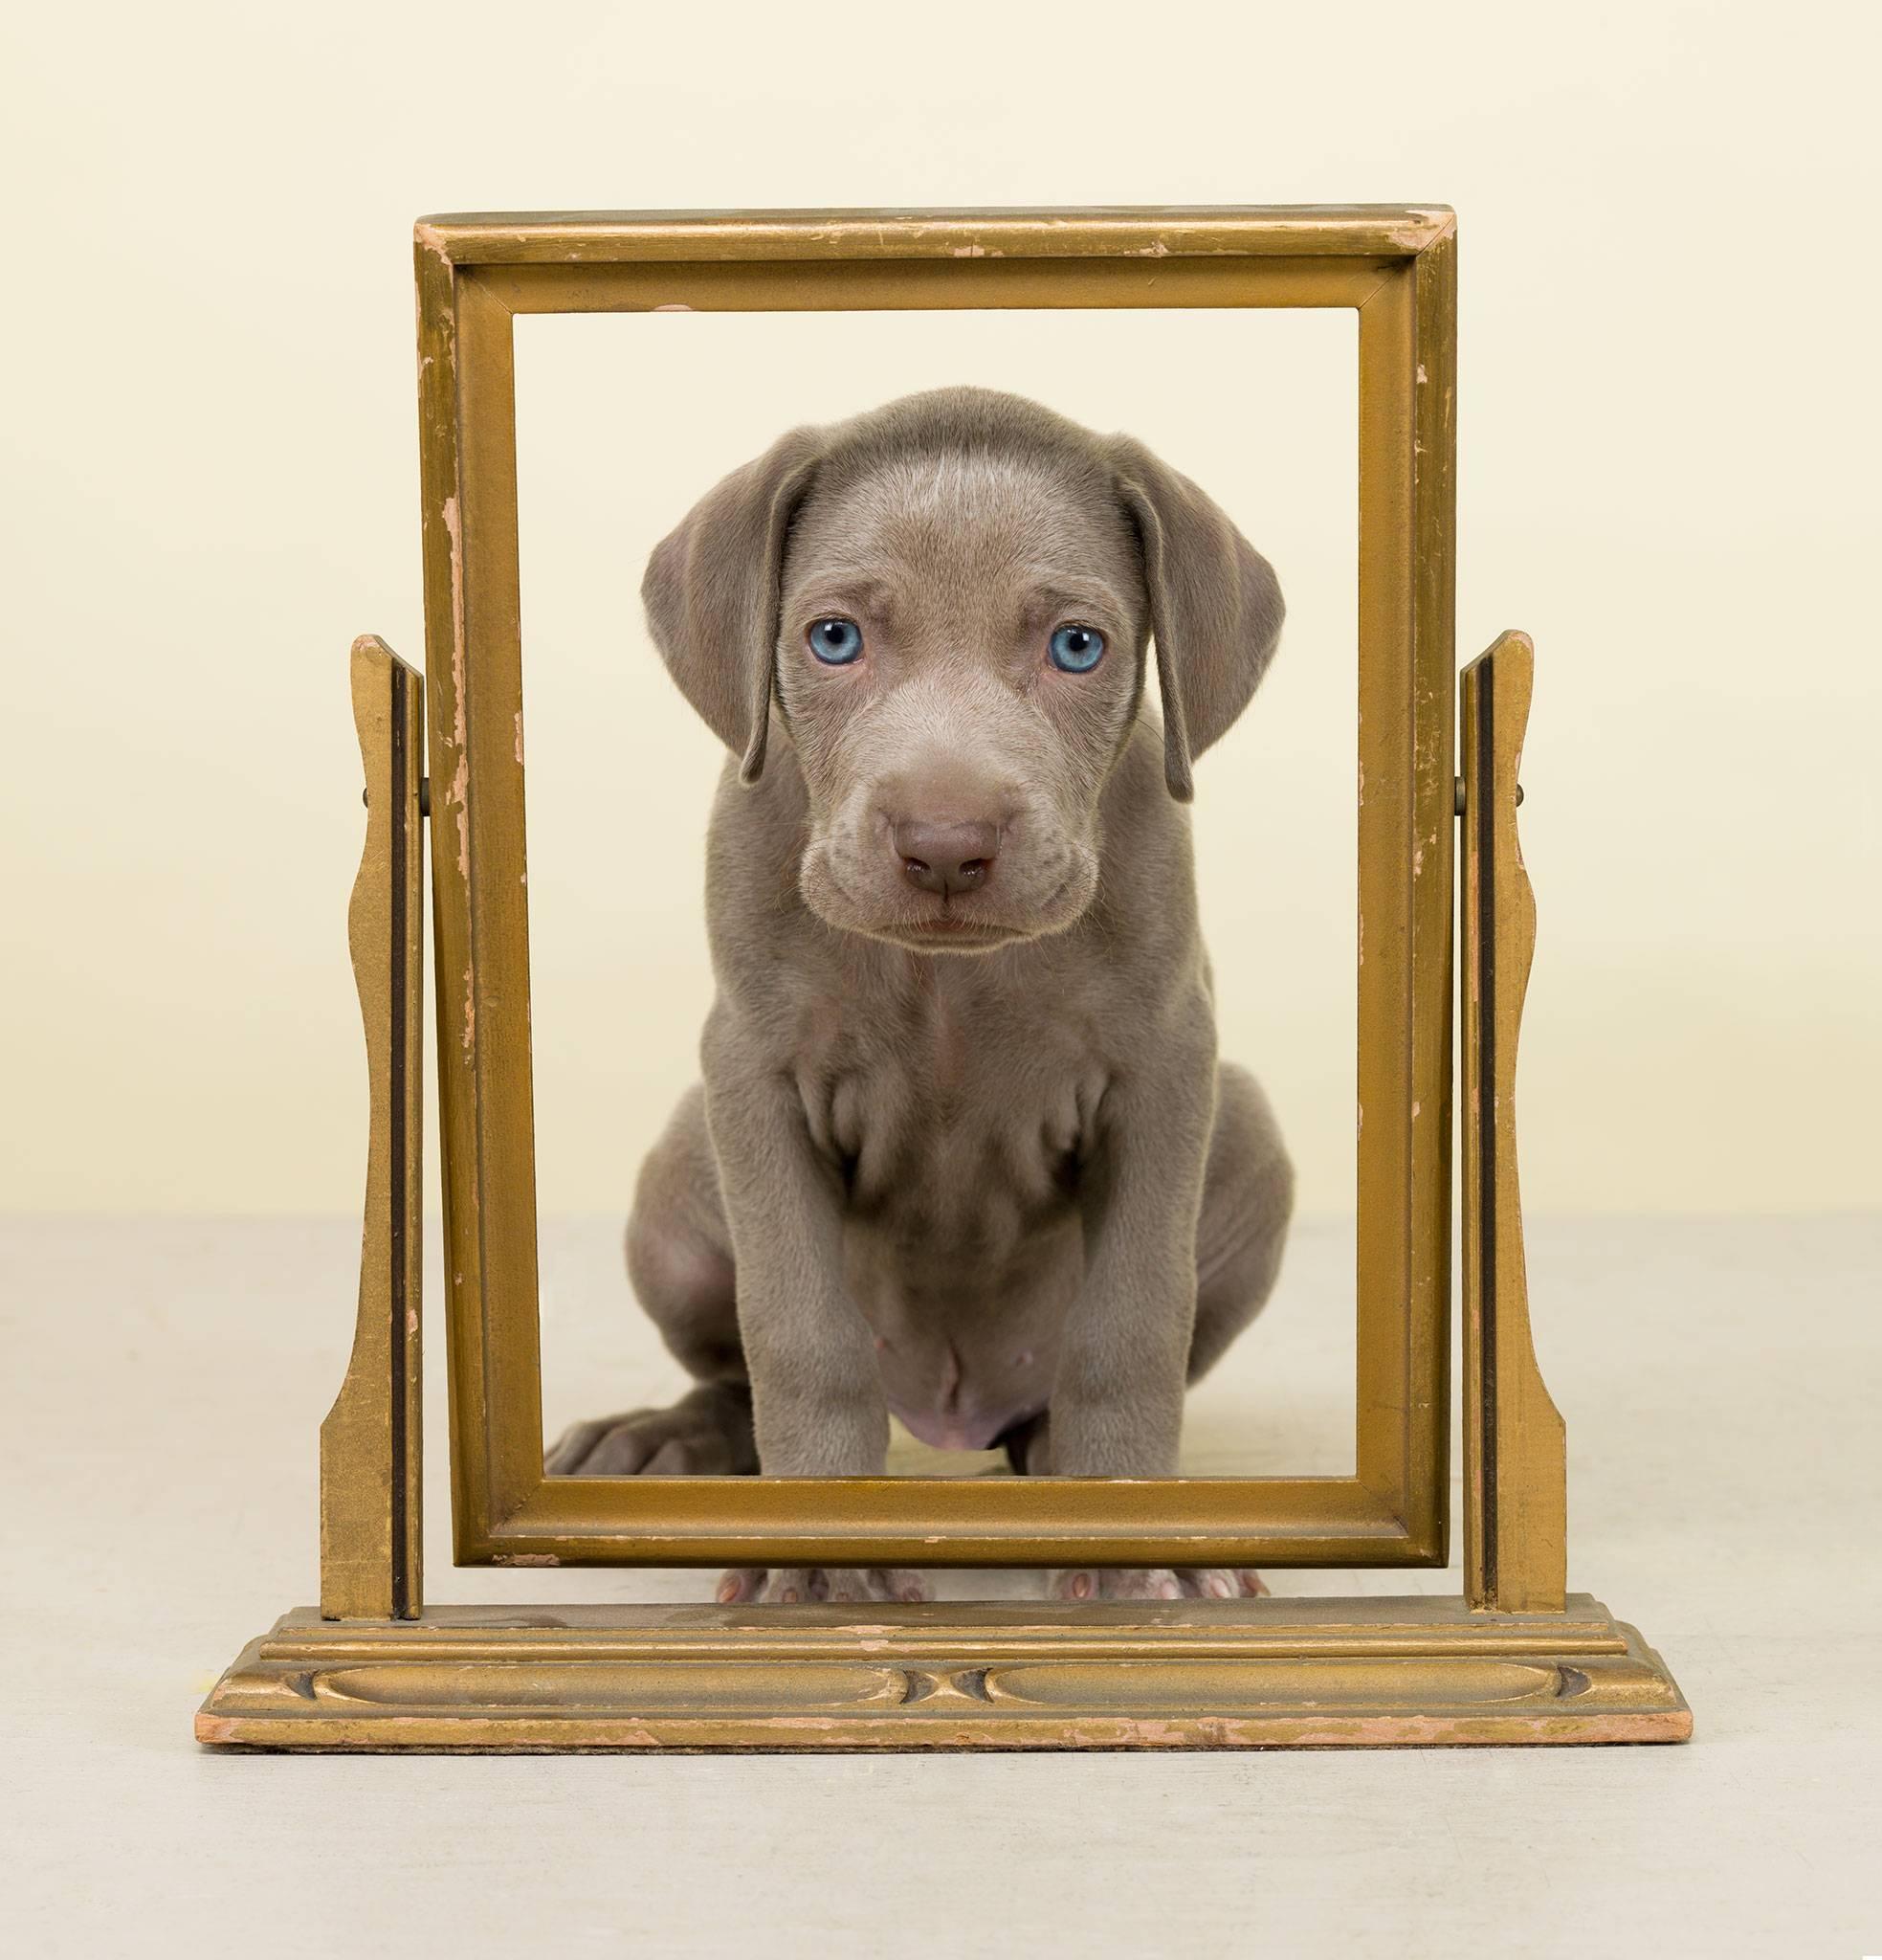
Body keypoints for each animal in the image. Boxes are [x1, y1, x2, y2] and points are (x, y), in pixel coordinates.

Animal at [548, 386, 1294, 1607]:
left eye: (1075, 645)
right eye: (833, 637)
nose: (946, 845)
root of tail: (949, 1408)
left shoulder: (1163, 1067)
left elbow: (1132, 1324)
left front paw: (1140, 1548)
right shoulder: (753, 1073)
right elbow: (797, 1332)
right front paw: (816, 1559)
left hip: (1249, 1138)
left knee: (1058, 1394)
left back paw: (1051, 1454)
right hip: (676, 1180)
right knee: (734, 1382)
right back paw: (660, 1437)